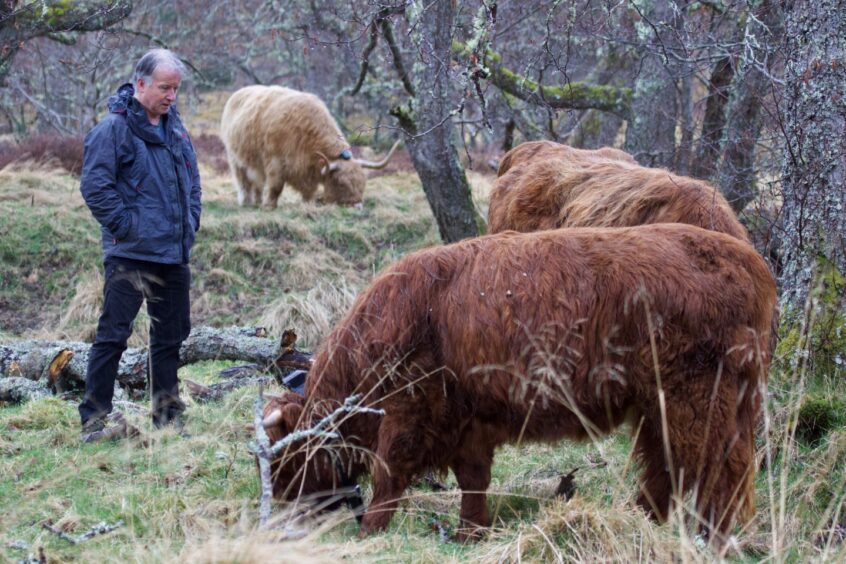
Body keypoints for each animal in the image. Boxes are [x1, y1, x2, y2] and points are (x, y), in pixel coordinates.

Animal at [220, 85, 399, 209]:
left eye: (363, 182)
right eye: (341, 183)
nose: (357, 206)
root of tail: (238, 93)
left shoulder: (307, 170)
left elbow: (309, 191)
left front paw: (308, 206)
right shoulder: (275, 161)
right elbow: (276, 187)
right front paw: (269, 207)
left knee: (258, 182)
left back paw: (257, 201)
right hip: (235, 158)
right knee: (243, 181)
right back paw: (246, 202)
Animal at [261, 223, 776, 542]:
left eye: (283, 455)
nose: (283, 503)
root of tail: (748, 260)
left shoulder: (409, 410)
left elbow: (391, 472)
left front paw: (371, 529)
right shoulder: (467, 422)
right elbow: (473, 481)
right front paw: (471, 532)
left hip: (697, 399)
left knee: (719, 472)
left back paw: (712, 538)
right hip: (660, 406)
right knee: (665, 469)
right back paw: (636, 522)